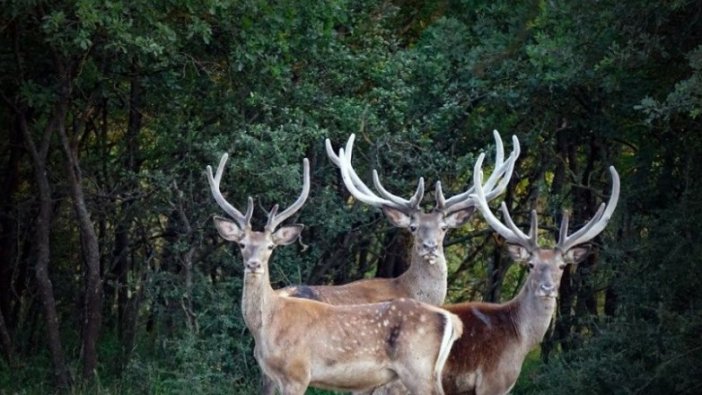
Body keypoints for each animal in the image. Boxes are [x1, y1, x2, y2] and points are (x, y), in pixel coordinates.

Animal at [206, 152, 464, 395]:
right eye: (241, 244)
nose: (253, 265)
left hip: (417, 367)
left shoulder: (297, 373)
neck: (268, 324)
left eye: (270, 246)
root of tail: (450, 319)